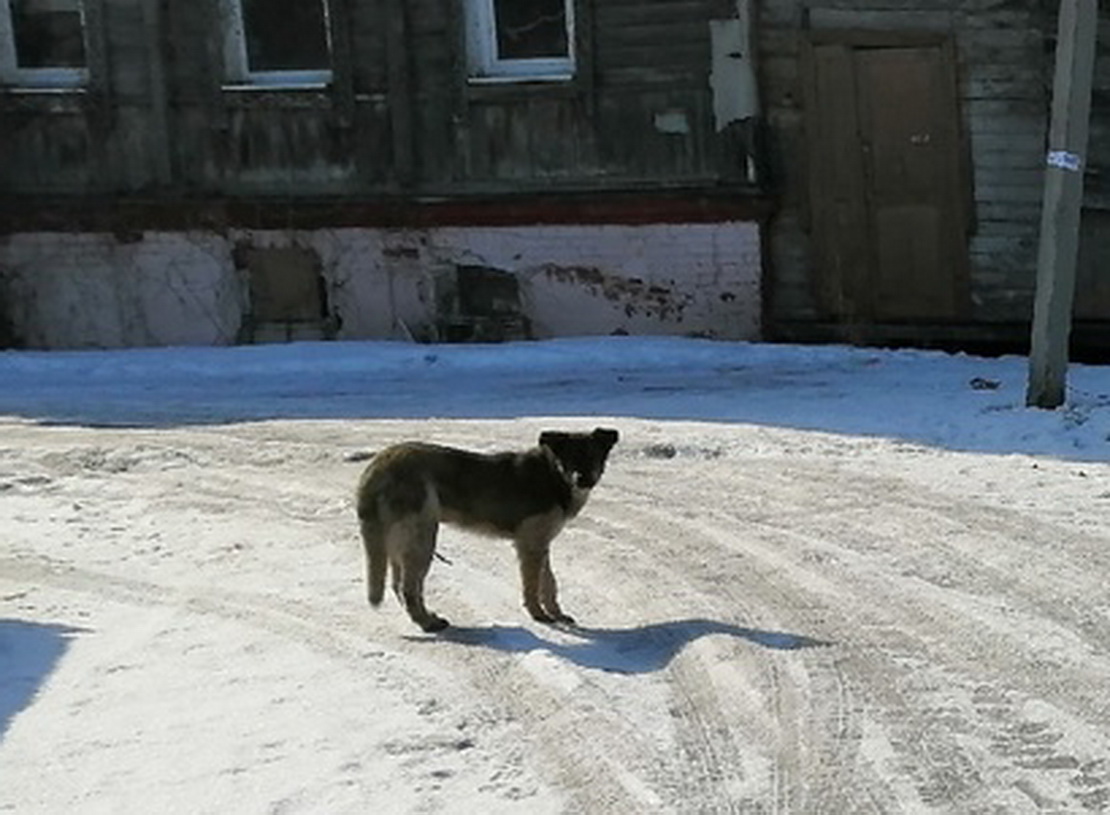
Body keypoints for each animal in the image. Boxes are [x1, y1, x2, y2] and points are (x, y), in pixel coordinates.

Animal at [352, 430, 617, 635]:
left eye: (593, 456)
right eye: (570, 459)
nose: (582, 479)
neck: (553, 475)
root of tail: (376, 466)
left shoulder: (541, 544)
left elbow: (549, 582)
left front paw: (557, 613)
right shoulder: (530, 544)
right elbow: (533, 585)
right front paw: (539, 615)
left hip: (401, 540)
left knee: (398, 585)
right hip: (422, 538)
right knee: (409, 589)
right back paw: (428, 623)